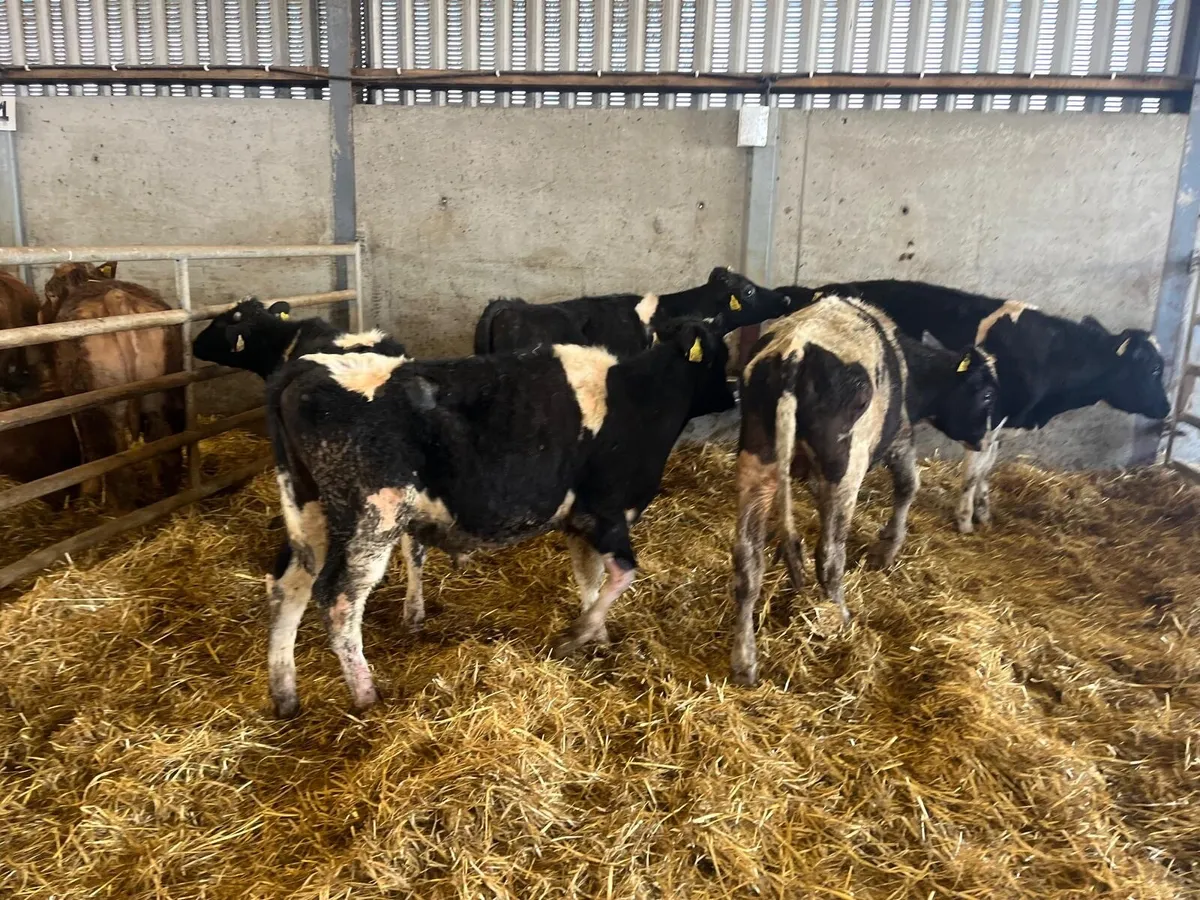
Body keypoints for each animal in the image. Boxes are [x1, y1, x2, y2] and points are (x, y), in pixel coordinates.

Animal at [42, 262, 185, 510]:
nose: (40, 314)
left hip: (100, 405)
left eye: (49, 293)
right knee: (167, 446)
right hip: (165, 392)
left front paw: (89, 491)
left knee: (113, 459)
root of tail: (116, 298)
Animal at [264, 317, 735, 717]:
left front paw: (595, 635)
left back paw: (285, 695)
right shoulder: (605, 511)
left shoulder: (580, 521)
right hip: (373, 518)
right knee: (339, 597)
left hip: (310, 510)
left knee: (290, 584)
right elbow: (621, 574)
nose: (733, 395)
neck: (636, 400)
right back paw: (366, 696)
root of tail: (304, 369)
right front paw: (577, 635)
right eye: (721, 353)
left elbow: (589, 577)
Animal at [730, 296, 999, 686]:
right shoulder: (900, 435)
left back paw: (745, 661)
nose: (983, 439)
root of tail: (795, 350)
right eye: (988, 394)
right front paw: (887, 548)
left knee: (747, 560)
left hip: (757, 460)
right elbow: (908, 484)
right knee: (829, 554)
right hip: (846, 466)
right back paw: (839, 617)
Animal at [779, 280, 1172, 533]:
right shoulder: (985, 417)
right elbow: (973, 471)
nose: (1167, 409)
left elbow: (987, 468)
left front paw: (983, 511)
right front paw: (965, 518)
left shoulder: (1000, 423)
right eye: (1154, 367)